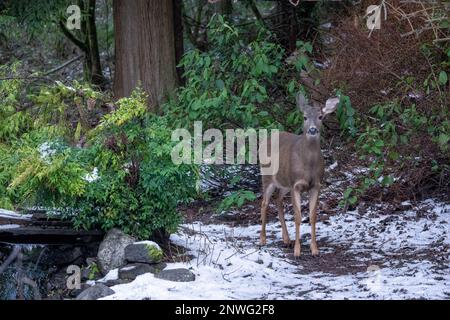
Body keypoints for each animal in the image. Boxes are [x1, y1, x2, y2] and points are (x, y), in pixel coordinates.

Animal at [258, 93, 340, 258]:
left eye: (321, 116)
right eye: (304, 117)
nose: (313, 130)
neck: (308, 164)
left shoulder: (316, 185)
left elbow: (313, 216)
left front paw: (315, 249)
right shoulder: (296, 184)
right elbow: (297, 217)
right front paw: (297, 251)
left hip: (284, 183)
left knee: (278, 200)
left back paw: (286, 240)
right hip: (267, 177)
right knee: (264, 203)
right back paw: (263, 239)